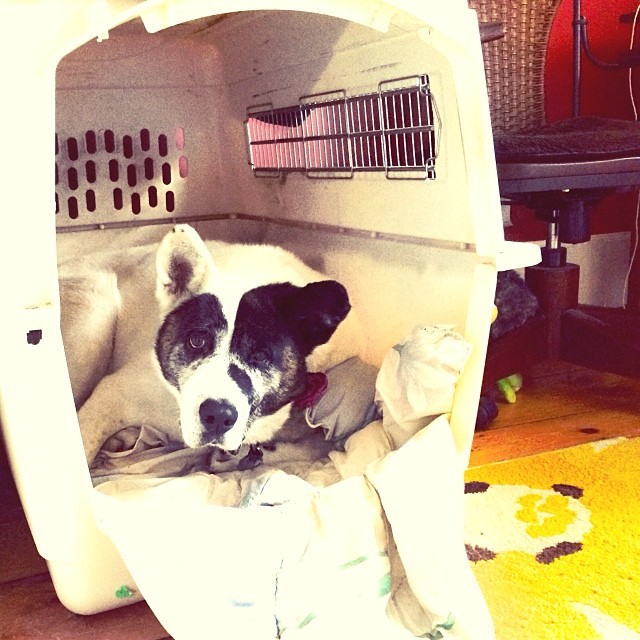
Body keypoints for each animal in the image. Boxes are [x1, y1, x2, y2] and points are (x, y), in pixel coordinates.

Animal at [61, 225, 364, 464]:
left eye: (261, 355)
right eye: (197, 341)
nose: (218, 416)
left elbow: (315, 444)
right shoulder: (112, 394)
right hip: (95, 310)